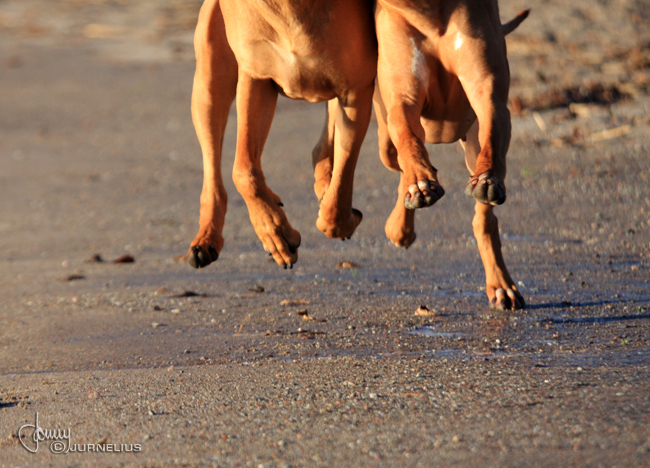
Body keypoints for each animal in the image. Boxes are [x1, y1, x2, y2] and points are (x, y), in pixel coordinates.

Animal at [185, 0, 374, 268]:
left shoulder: (355, 90)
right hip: (208, 84)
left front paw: (341, 219)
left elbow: (341, 182)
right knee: (212, 169)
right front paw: (275, 233)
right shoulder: (256, 77)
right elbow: (243, 170)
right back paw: (206, 239)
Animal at [372, 0, 528, 310]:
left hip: (471, 143)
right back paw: (401, 223)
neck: (428, 11)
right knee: (399, 163)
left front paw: (487, 179)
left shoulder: (487, 92)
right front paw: (420, 185)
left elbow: (492, 135)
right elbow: (408, 138)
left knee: (484, 219)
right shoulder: (403, 99)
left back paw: (501, 286)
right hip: (384, 139)